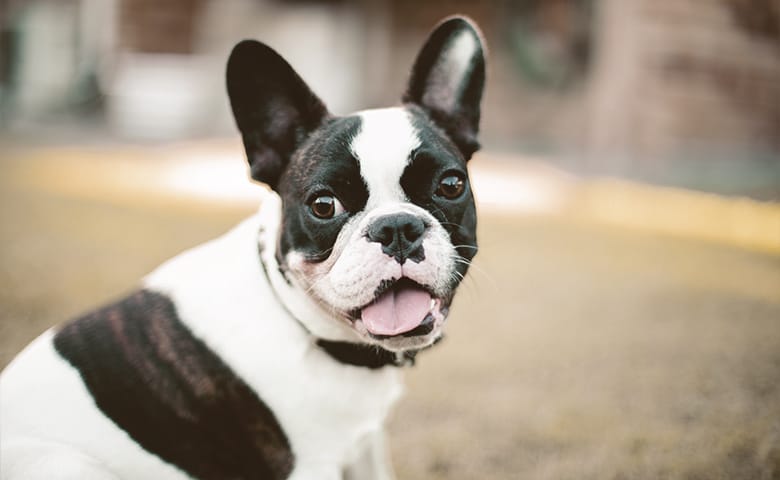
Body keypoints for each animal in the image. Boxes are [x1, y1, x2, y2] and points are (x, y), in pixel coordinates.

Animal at [0, 15, 484, 480]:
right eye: (324, 205)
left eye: (450, 185)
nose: (396, 227)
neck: (302, 324)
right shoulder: (311, 468)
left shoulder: (365, 447)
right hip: (64, 463)